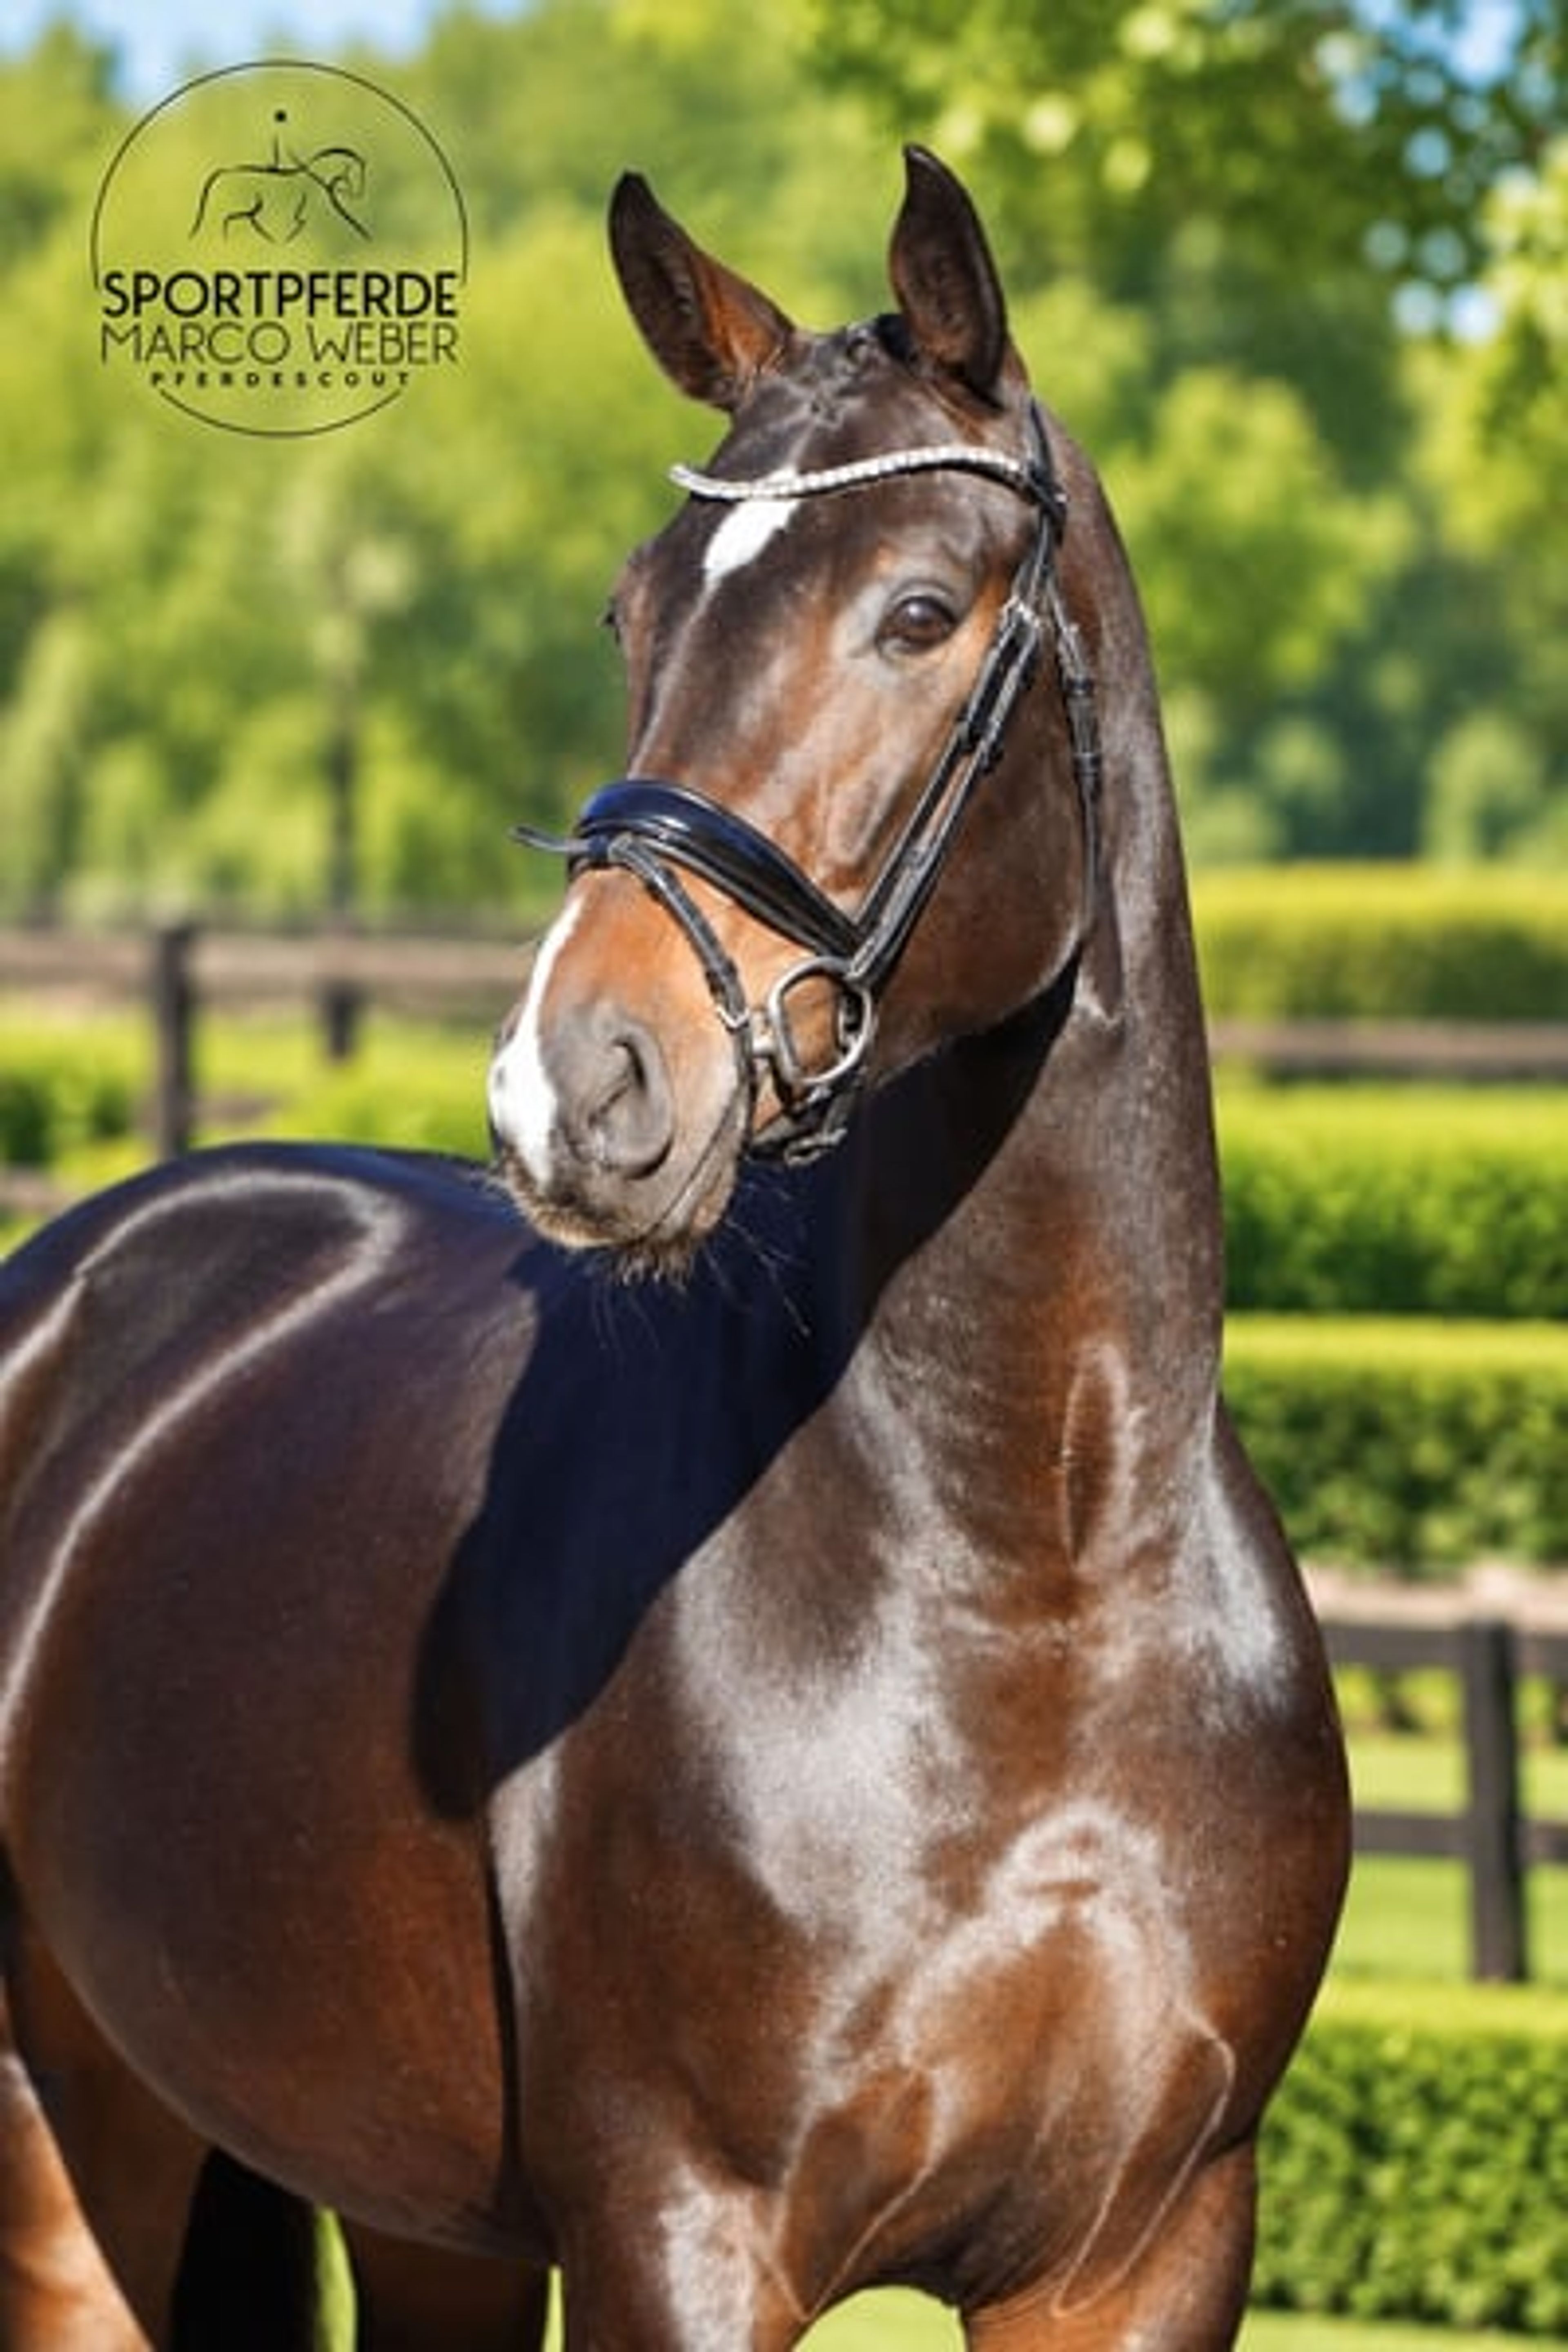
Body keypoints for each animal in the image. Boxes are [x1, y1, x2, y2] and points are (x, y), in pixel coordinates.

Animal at [0, 148, 1348, 2349]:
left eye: (919, 613)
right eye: (638, 609)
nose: (576, 1084)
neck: (1040, 1573)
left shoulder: (1148, 2247)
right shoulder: (681, 2232)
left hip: (425, 2223)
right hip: (62, 2118)